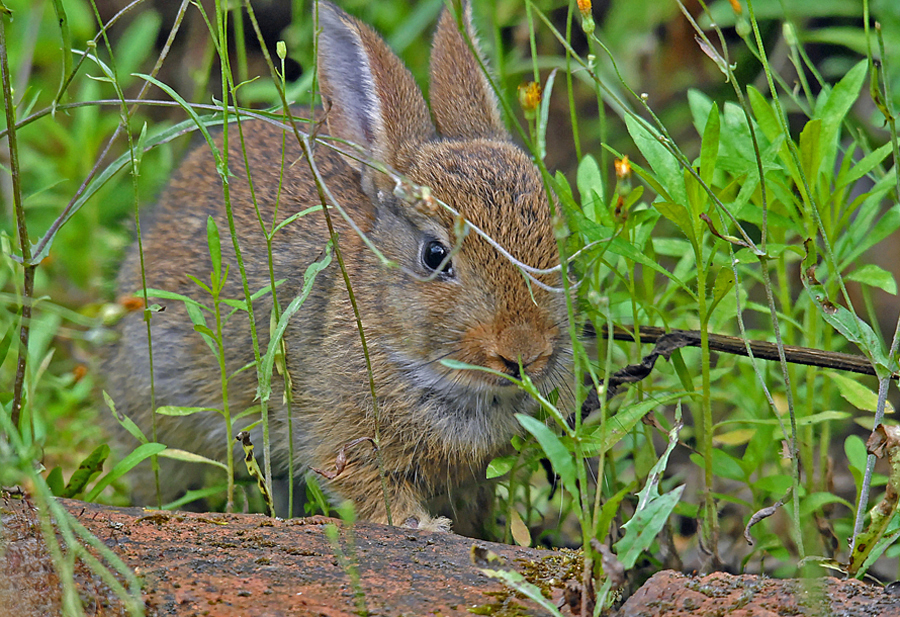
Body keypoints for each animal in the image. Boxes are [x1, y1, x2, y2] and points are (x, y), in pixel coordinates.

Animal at [105, 0, 572, 532]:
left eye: (555, 238)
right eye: (435, 256)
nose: (524, 353)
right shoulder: (339, 438)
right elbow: (370, 491)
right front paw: (423, 526)